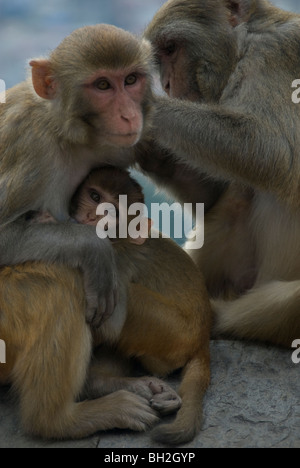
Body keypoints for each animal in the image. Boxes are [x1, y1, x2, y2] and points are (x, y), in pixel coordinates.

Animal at [0, 23, 155, 328]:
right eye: (103, 85)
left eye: (131, 79)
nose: (129, 116)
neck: (61, 131)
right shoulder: (30, 152)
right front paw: (94, 248)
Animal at [35, 166, 212, 444]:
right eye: (94, 196)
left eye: (113, 212)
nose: (92, 217)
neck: (117, 239)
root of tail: (203, 337)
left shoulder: (113, 261)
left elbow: (109, 322)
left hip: (171, 334)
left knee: (128, 298)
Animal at [134, 0, 300, 348]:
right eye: (161, 55)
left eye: (171, 48)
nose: (166, 85)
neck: (246, 43)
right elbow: (214, 194)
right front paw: (154, 154)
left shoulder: (274, 54)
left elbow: (269, 149)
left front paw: (144, 106)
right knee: (238, 195)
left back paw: (214, 317)